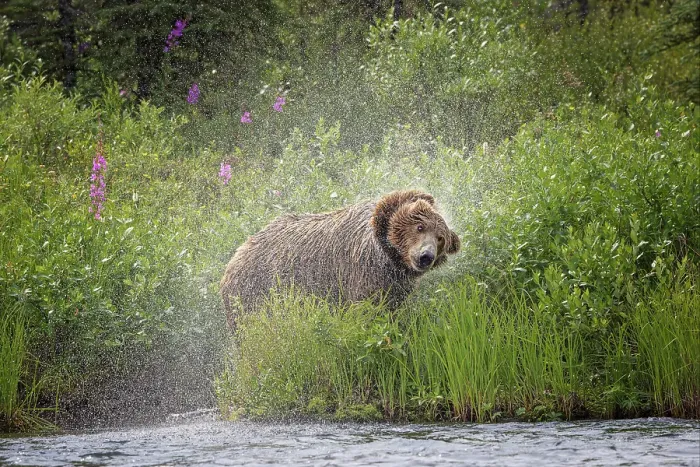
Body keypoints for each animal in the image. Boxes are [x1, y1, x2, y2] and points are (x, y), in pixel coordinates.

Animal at [220, 190, 460, 331]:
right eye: (420, 227)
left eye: (440, 238)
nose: (426, 256)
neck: (386, 253)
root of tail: (233, 259)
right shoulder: (362, 269)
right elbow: (366, 310)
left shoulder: (393, 284)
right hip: (252, 294)